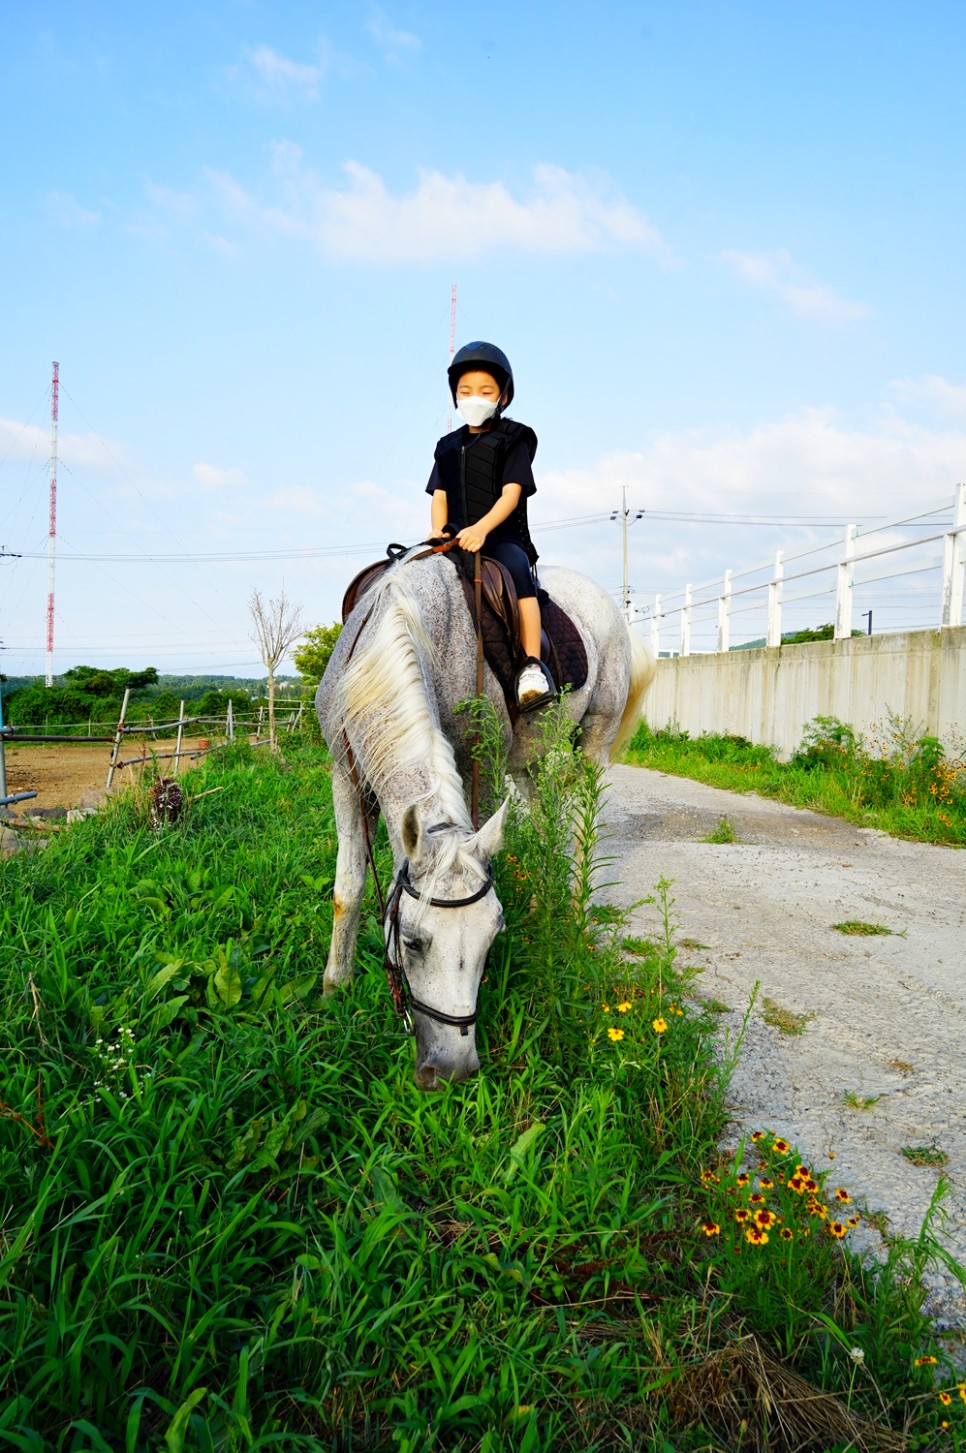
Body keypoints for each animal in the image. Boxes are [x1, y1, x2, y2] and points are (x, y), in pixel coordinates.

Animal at [316, 546, 656, 1092]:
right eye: (410, 941)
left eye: (492, 938)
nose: (452, 1069)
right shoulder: (344, 775)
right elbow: (347, 891)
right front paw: (334, 989)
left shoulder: (484, 762)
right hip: (530, 760)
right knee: (544, 821)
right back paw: (543, 902)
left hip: (593, 744)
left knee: (580, 827)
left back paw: (574, 912)